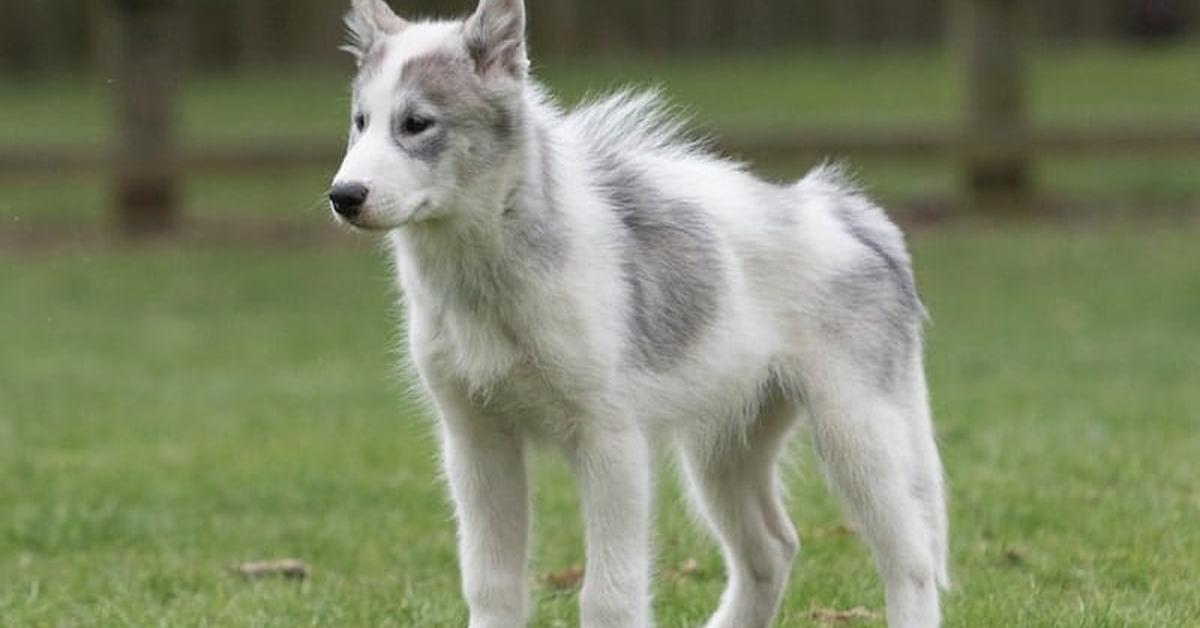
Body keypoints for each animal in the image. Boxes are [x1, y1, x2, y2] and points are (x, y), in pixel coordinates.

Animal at [326, 1, 945, 628]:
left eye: (416, 124)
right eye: (360, 122)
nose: (343, 196)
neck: (488, 272)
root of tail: (848, 212)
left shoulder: (610, 441)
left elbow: (609, 594)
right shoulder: (476, 438)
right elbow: (491, 584)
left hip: (858, 430)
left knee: (910, 559)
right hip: (726, 445)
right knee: (771, 550)